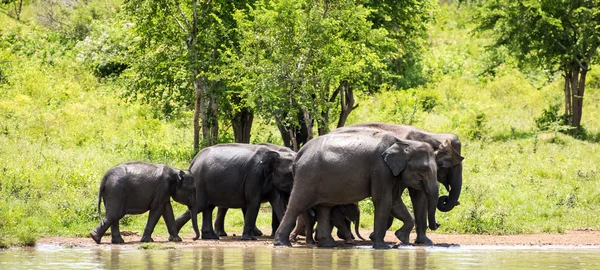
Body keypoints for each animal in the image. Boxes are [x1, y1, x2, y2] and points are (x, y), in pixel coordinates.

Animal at [274, 131, 438, 249]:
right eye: (424, 169)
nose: (437, 225)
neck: (403, 142)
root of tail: (298, 155)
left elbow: (395, 203)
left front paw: (401, 238)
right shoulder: (380, 169)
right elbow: (384, 201)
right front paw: (383, 247)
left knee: (324, 209)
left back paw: (328, 245)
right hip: (308, 175)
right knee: (297, 205)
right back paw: (282, 244)